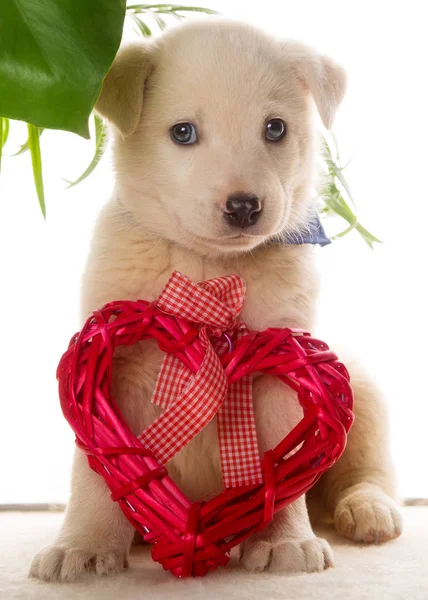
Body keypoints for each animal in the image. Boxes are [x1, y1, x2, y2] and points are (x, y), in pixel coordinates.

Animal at [30, 17, 402, 580]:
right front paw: (84, 546)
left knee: (365, 473)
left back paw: (368, 510)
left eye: (276, 129)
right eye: (183, 132)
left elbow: (281, 466)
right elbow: (96, 473)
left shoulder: (283, 367)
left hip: (363, 390)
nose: (244, 207)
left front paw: (283, 539)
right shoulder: (106, 370)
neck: (210, 272)